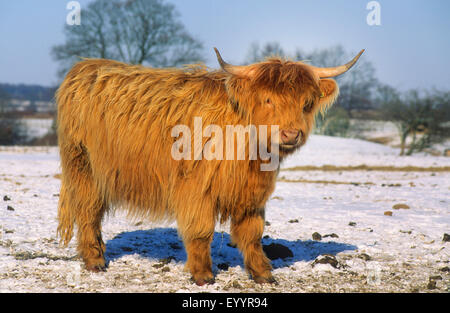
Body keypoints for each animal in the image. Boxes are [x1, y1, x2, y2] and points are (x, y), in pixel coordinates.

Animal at [57, 47, 366, 284]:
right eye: (268, 99)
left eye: (307, 102)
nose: (291, 134)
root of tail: (84, 67)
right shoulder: (196, 188)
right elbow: (201, 231)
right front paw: (203, 275)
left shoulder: (252, 194)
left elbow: (252, 233)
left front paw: (263, 273)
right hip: (83, 167)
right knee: (88, 211)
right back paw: (95, 261)